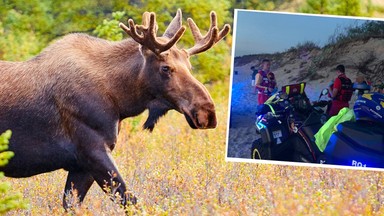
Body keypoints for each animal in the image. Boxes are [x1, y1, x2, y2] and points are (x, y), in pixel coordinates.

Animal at [0, 9, 230, 208]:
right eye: (166, 68)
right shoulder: (93, 151)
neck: (119, 99)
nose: (207, 112)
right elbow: (131, 201)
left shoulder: (80, 166)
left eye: (189, 67)